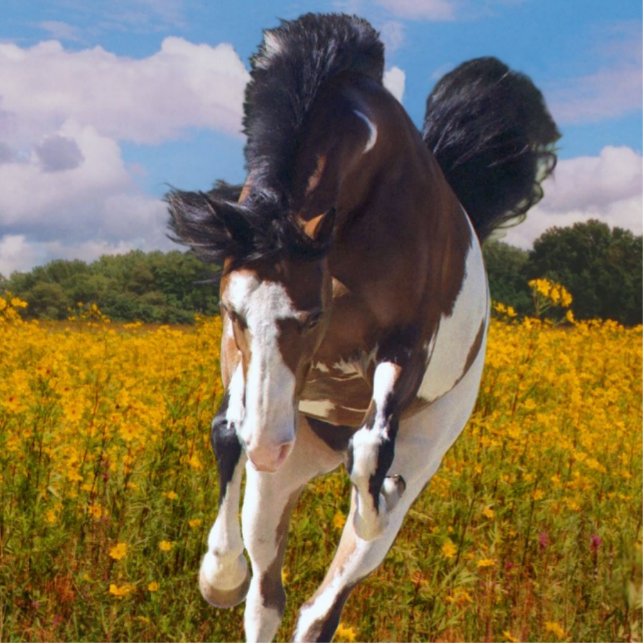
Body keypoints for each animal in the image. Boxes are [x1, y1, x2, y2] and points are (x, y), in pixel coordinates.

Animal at [167, 13, 559, 642]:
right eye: (231, 312)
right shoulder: (240, 357)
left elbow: (374, 450)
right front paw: (217, 579)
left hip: (414, 452)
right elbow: (226, 430)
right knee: (267, 600)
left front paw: (382, 496)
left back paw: (379, 500)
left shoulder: (407, 347)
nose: (270, 446)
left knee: (322, 603)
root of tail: (312, 455)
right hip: (276, 489)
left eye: (314, 315)